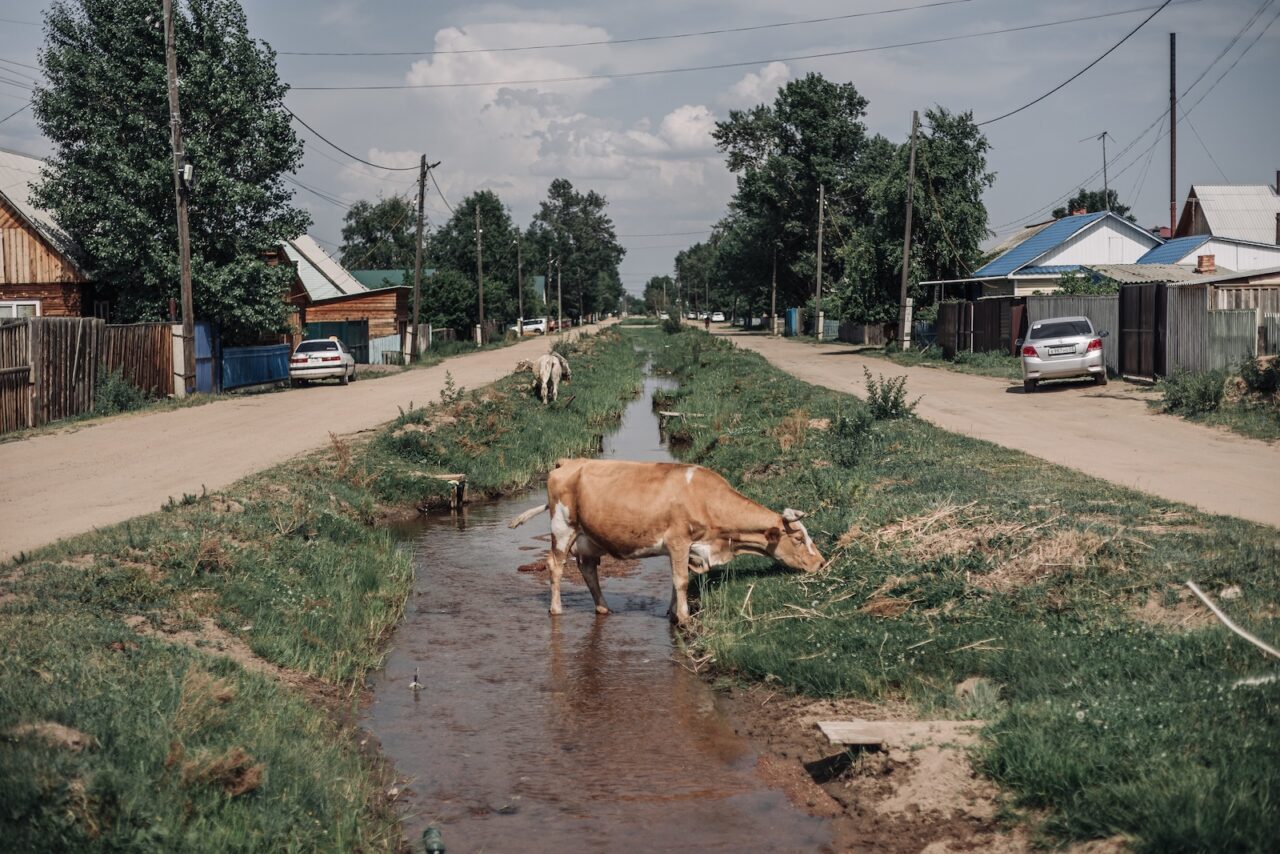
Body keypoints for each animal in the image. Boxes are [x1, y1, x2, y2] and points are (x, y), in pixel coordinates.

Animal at [509, 458, 825, 624]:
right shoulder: (678, 540)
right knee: (556, 566)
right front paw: (684, 618)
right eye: (799, 538)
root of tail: (568, 462)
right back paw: (556, 608)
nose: (821, 563)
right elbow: (681, 580)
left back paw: (603, 607)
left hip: (588, 538)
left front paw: (673, 612)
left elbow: (677, 579)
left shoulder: (687, 548)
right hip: (563, 528)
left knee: (588, 570)